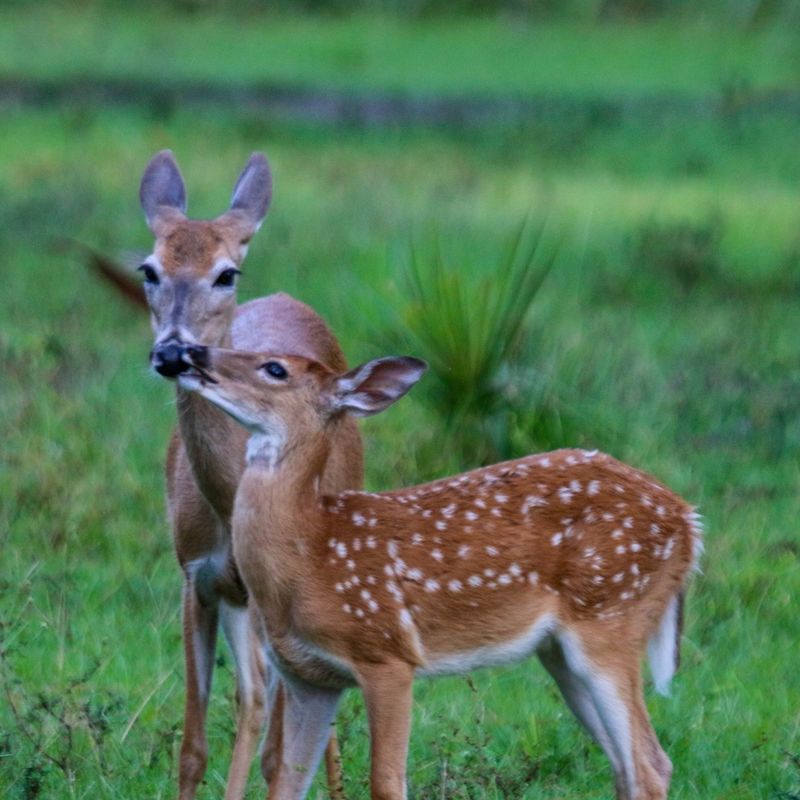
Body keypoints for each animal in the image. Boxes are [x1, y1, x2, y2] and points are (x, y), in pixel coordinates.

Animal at [139, 152, 360, 800]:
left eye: (227, 274)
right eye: (148, 269)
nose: (173, 353)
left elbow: (276, 745)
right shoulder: (196, 577)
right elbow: (194, 743)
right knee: (255, 696)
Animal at [173, 346, 700, 800]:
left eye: (275, 368)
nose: (191, 352)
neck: (310, 557)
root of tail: (688, 520)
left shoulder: (386, 654)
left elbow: (386, 784)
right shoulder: (309, 676)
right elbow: (286, 781)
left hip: (611, 617)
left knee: (651, 765)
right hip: (560, 651)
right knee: (625, 764)